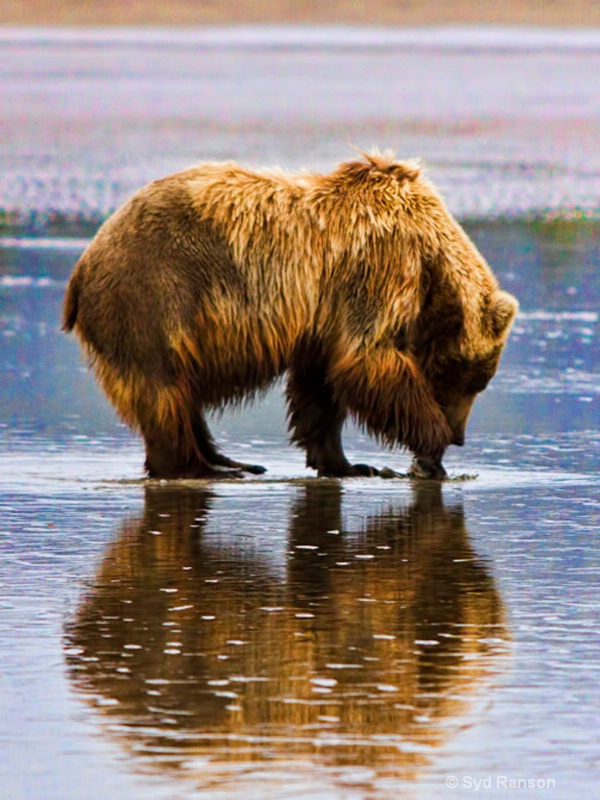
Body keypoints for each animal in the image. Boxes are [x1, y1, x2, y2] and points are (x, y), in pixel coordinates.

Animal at [63, 150, 516, 478]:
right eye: (473, 380)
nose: (459, 437)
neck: (430, 263)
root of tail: (83, 266)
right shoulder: (379, 268)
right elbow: (370, 360)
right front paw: (427, 452)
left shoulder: (324, 317)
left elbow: (321, 387)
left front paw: (351, 464)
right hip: (155, 294)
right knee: (163, 388)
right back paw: (201, 467)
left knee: (180, 393)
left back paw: (227, 460)